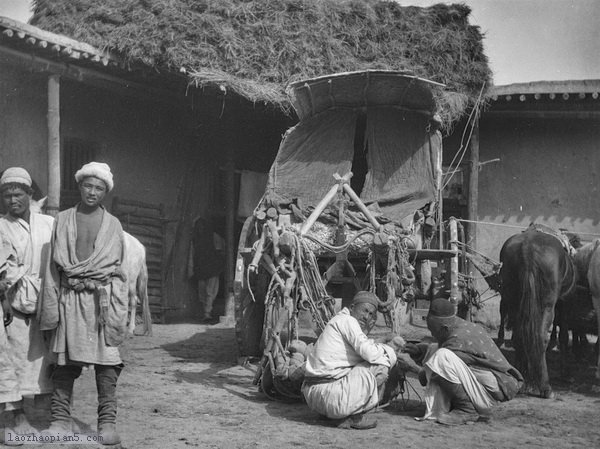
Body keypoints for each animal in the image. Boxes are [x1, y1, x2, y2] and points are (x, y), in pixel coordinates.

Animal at [496, 228, 576, 396]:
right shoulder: (564, 302)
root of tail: (527, 248)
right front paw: (566, 373)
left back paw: (522, 380)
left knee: (519, 336)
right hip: (546, 305)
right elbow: (564, 336)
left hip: (514, 301)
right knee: (540, 337)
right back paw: (545, 387)